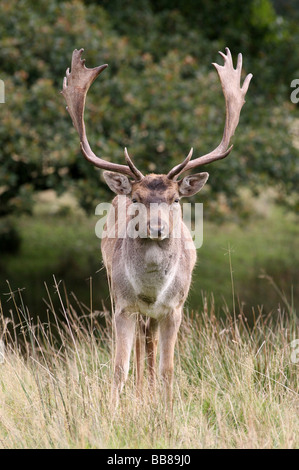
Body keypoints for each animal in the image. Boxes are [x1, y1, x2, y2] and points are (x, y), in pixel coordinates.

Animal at [61, 48, 253, 408]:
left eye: (175, 198)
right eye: (137, 198)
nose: (157, 227)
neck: (151, 290)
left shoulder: (175, 307)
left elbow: (168, 368)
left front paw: (166, 409)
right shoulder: (122, 305)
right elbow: (119, 367)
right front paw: (114, 410)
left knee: (149, 345)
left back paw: (148, 392)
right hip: (117, 291)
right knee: (140, 346)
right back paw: (140, 392)